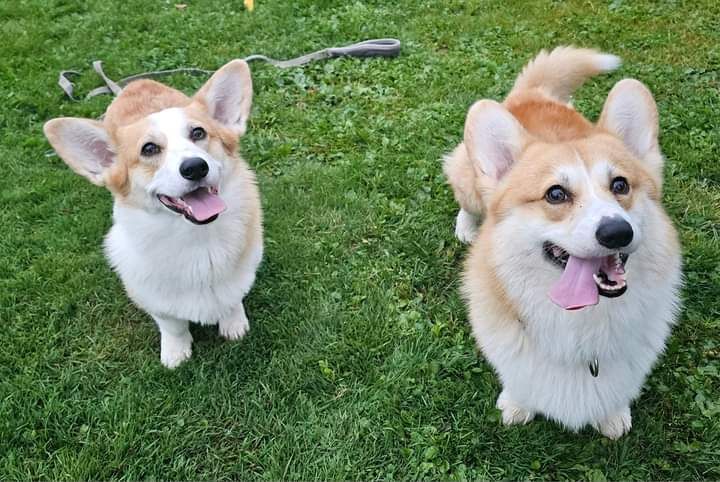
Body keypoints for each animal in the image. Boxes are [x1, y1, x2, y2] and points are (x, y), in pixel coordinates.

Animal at [43, 60, 262, 370]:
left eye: (198, 133)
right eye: (149, 149)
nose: (195, 167)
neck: (197, 239)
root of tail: (137, 83)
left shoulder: (242, 273)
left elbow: (232, 298)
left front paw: (234, 325)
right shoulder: (152, 297)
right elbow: (173, 325)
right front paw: (176, 353)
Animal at [442, 48, 684, 436]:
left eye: (620, 185)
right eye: (555, 194)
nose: (617, 232)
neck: (582, 322)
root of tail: (533, 93)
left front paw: (612, 415)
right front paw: (517, 405)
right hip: (468, 183)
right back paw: (467, 226)